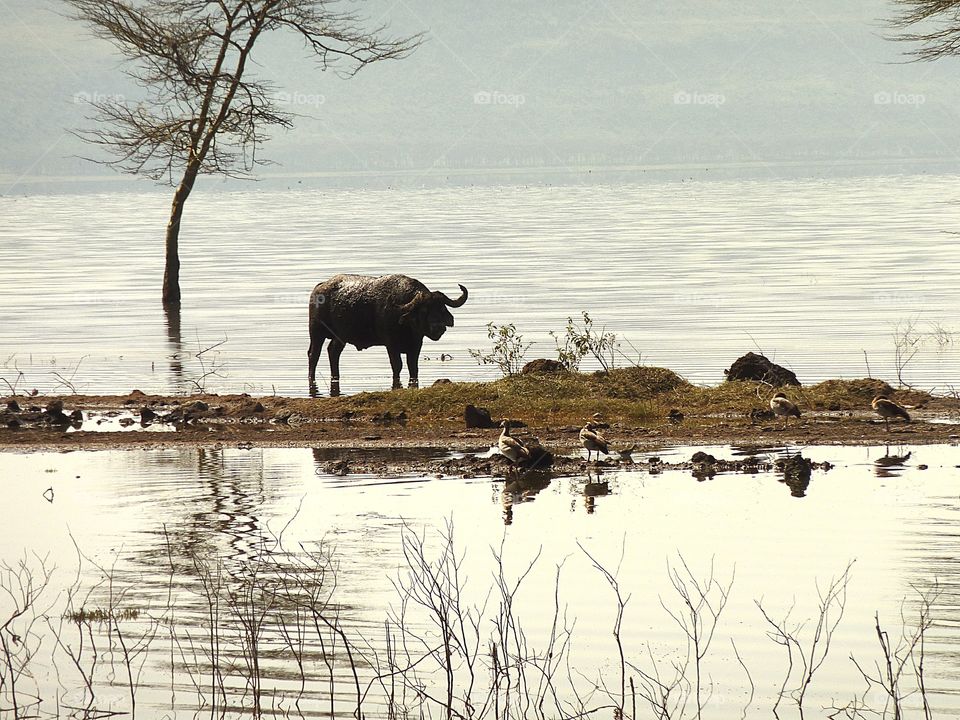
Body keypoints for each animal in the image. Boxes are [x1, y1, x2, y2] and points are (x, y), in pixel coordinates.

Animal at [308, 274, 468, 393]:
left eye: (441, 308)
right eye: (423, 311)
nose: (438, 327)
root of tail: (319, 288)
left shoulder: (416, 345)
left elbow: (413, 367)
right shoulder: (391, 345)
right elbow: (397, 365)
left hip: (340, 337)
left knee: (333, 351)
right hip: (316, 332)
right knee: (314, 354)